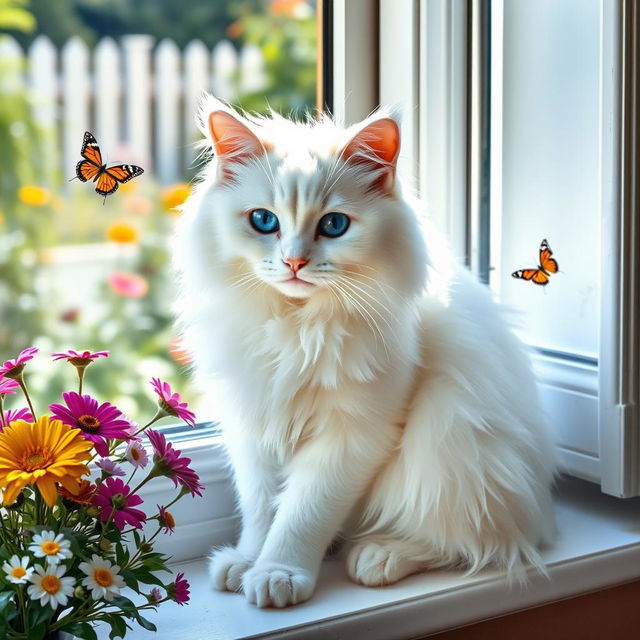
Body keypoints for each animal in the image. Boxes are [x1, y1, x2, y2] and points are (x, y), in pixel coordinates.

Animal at [174, 96, 556, 608]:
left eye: (334, 225)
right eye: (264, 221)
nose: (294, 262)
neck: (297, 326)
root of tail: (543, 508)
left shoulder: (352, 435)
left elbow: (301, 514)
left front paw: (278, 573)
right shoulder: (252, 425)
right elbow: (260, 508)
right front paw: (248, 560)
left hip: (451, 441)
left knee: (474, 542)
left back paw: (380, 554)